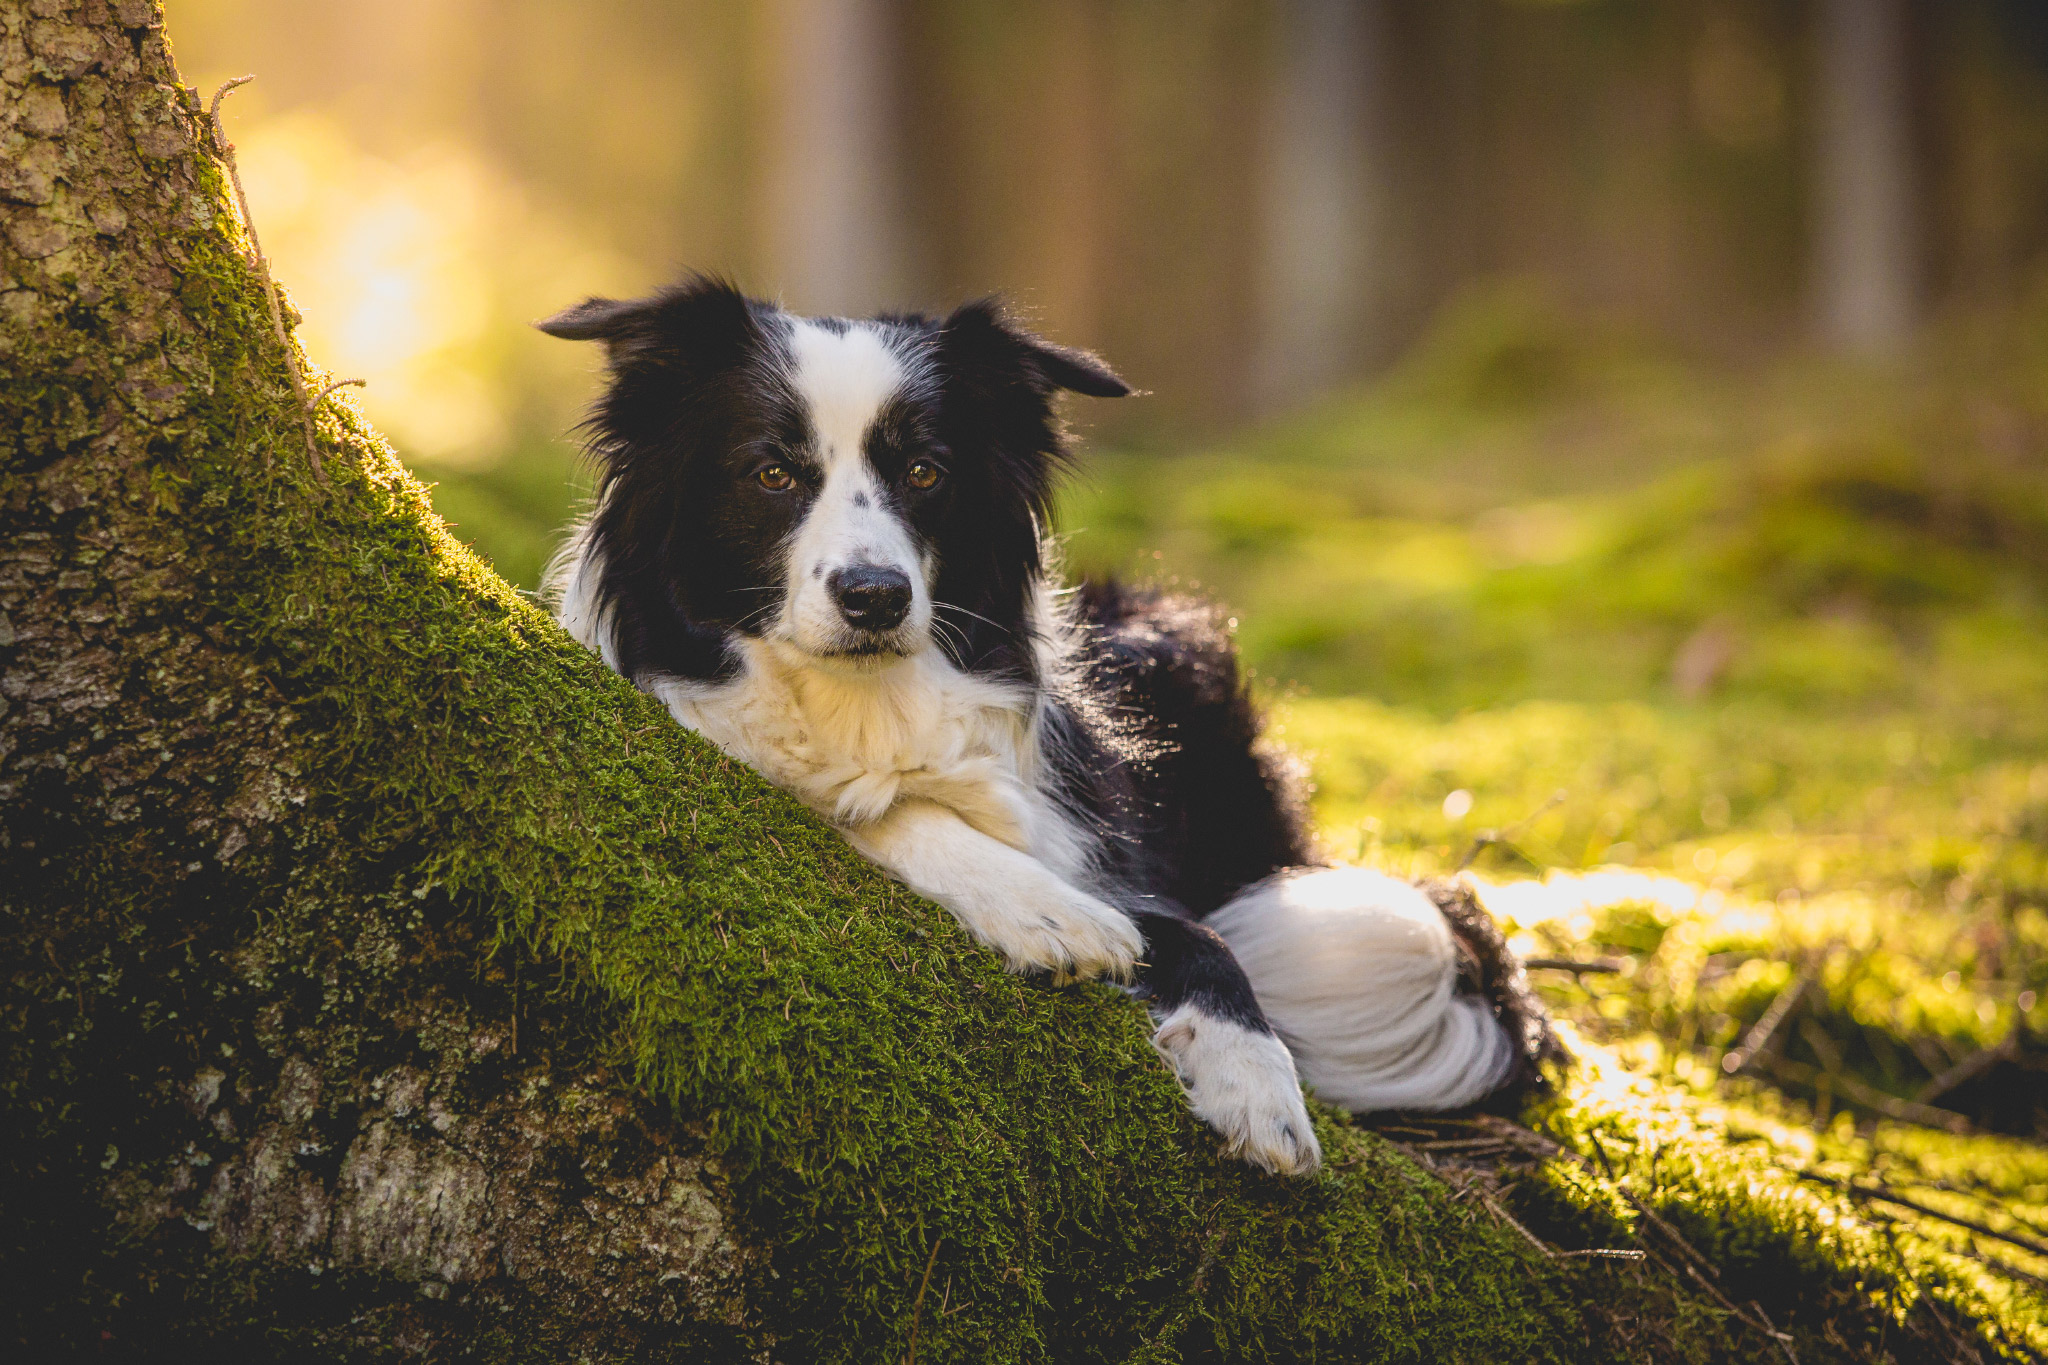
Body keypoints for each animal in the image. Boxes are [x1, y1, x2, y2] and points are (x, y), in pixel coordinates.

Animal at [536, 278, 1540, 1178]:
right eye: (771, 472)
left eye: (925, 471)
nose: (875, 596)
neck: (858, 701)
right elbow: (867, 807)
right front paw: (1042, 909)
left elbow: (1203, 937)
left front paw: (1257, 1083)